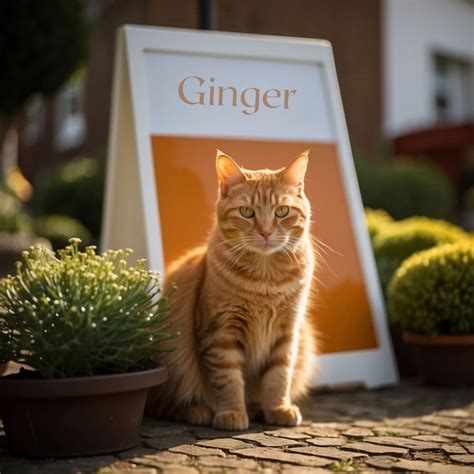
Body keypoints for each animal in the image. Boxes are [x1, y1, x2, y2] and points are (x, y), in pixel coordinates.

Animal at [147, 150, 318, 432]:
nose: (266, 232)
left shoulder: (287, 332)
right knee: (164, 404)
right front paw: (232, 413)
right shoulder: (220, 333)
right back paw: (198, 411)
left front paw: (277, 408)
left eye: (282, 211)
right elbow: (228, 380)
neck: (265, 278)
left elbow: (279, 376)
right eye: (247, 212)